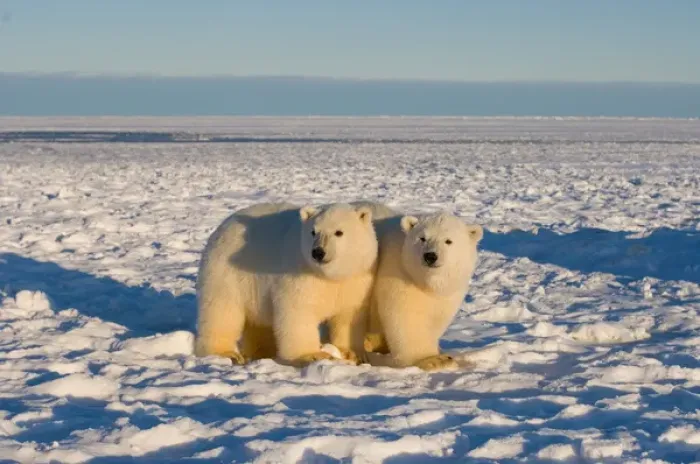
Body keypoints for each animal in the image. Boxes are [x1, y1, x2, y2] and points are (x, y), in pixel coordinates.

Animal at [194, 202, 378, 367]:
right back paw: (227, 353)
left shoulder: (355, 280)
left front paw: (354, 354)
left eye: (339, 232)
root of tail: (223, 225)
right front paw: (312, 355)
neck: (329, 276)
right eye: (313, 232)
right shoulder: (300, 274)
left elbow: (349, 315)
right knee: (222, 311)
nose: (318, 252)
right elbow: (298, 311)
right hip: (226, 273)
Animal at [358, 202, 483, 371]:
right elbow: (407, 315)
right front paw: (434, 360)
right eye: (422, 238)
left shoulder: (447, 293)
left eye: (448, 241)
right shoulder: (398, 272)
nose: (430, 256)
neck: (425, 281)